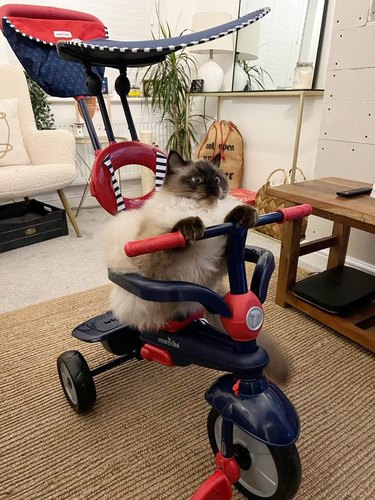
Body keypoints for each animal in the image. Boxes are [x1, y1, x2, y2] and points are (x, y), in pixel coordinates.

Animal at [101, 152, 290, 382]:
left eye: (216, 179)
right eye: (197, 180)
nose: (212, 187)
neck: (203, 210)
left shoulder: (220, 258)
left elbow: (231, 223)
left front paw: (245, 214)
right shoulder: (151, 260)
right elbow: (173, 234)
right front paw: (191, 227)